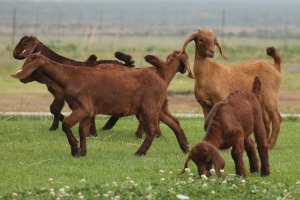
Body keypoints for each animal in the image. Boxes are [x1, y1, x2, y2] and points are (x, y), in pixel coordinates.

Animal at [11, 52, 190, 156]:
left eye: (26, 63)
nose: (21, 77)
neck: (69, 77)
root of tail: (160, 75)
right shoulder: (86, 112)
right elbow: (83, 131)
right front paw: (82, 153)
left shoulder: (82, 108)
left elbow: (66, 124)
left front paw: (74, 149)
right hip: (159, 107)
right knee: (174, 123)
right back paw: (185, 148)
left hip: (149, 107)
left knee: (152, 129)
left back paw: (139, 152)